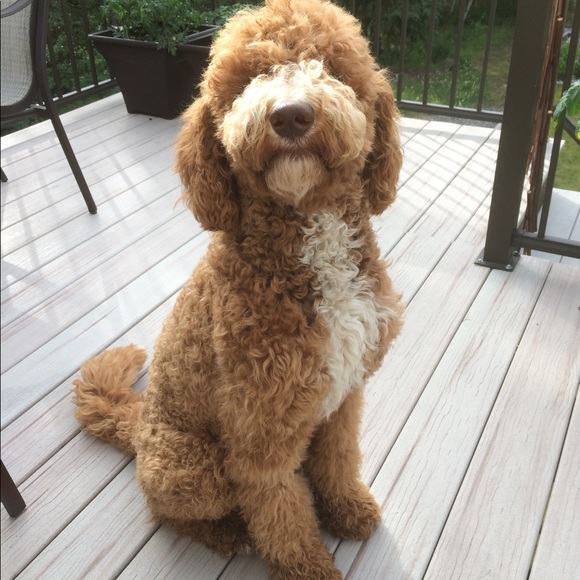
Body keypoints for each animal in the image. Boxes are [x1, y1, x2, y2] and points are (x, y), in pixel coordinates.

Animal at [73, 0, 404, 577]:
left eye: (331, 66)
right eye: (251, 78)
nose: (291, 115)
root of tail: (138, 425)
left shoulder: (344, 397)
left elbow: (338, 459)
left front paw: (346, 509)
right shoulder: (260, 428)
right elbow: (280, 509)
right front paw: (307, 566)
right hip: (195, 470)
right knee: (168, 511)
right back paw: (225, 532)